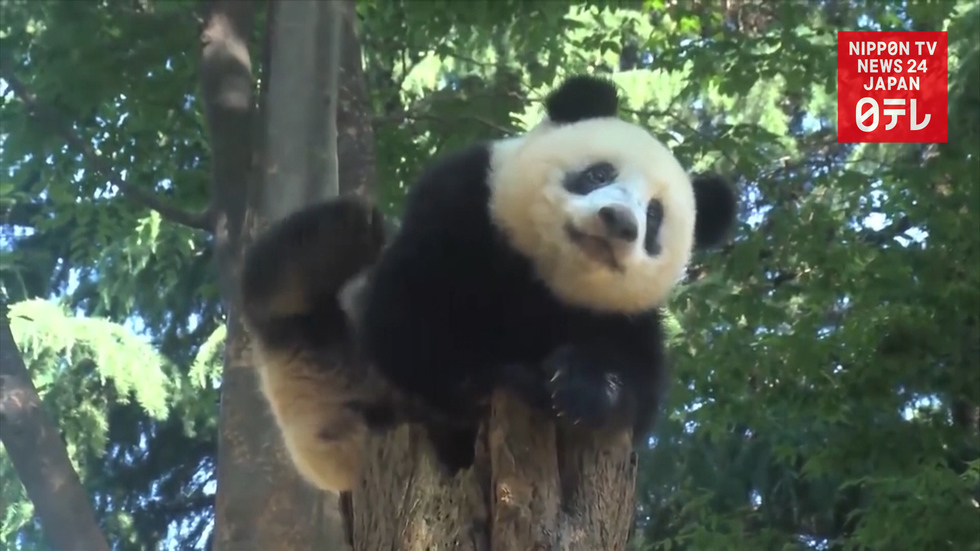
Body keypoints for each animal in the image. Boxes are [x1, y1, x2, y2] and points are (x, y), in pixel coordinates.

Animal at [240, 74, 738, 493]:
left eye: (653, 216)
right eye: (599, 174)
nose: (619, 222)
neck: (543, 274)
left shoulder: (626, 315)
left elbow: (638, 387)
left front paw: (582, 386)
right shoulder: (463, 203)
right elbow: (406, 319)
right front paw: (500, 377)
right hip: (350, 377)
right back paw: (319, 252)